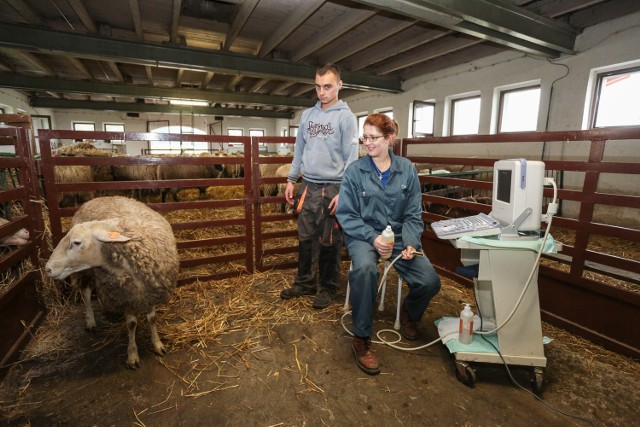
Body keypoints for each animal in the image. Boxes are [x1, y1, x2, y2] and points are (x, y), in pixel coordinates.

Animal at [43, 196, 178, 368]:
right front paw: (132, 355)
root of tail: (98, 198)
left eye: (77, 242)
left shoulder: (152, 288)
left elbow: (152, 318)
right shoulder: (125, 295)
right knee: (86, 293)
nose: (48, 269)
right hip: (85, 272)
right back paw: (90, 320)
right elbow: (131, 324)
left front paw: (157, 344)